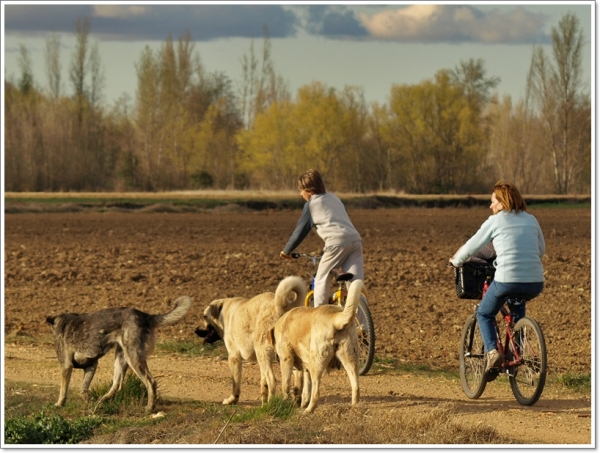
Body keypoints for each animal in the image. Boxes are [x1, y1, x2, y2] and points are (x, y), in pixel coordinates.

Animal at [47, 294, 192, 412]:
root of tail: (145, 316)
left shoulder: (67, 366)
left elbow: (63, 390)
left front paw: (59, 404)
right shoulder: (91, 366)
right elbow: (83, 389)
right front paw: (89, 401)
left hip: (133, 358)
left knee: (150, 382)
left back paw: (150, 408)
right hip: (121, 358)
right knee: (117, 384)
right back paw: (101, 401)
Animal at [200, 274, 308, 404]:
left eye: (204, 316)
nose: (195, 330)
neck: (223, 310)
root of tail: (280, 308)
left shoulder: (234, 357)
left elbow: (235, 383)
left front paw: (232, 400)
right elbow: (263, 383)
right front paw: (263, 402)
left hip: (263, 351)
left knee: (273, 380)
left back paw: (271, 404)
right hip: (278, 356)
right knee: (297, 378)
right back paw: (295, 401)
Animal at [270, 278, 364, 412]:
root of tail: (335, 317)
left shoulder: (286, 360)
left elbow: (286, 385)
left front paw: (284, 402)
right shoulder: (306, 367)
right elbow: (305, 390)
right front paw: (300, 402)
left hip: (317, 363)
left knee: (316, 393)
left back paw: (308, 410)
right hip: (350, 359)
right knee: (355, 386)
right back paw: (354, 407)